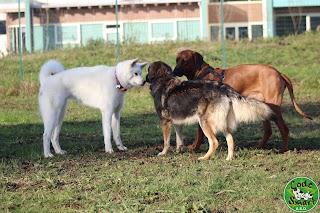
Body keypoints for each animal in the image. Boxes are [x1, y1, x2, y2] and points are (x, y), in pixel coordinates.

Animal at [172, 50, 312, 153]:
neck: (202, 73)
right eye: (177, 60)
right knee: (268, 131)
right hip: (263, 107)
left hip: (274, 108)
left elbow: (199, 132)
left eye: (185, 61)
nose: (174, 71)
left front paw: (194, 147)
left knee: (284, 129)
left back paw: (283, 149)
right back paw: (258, 147)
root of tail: (279, 73)